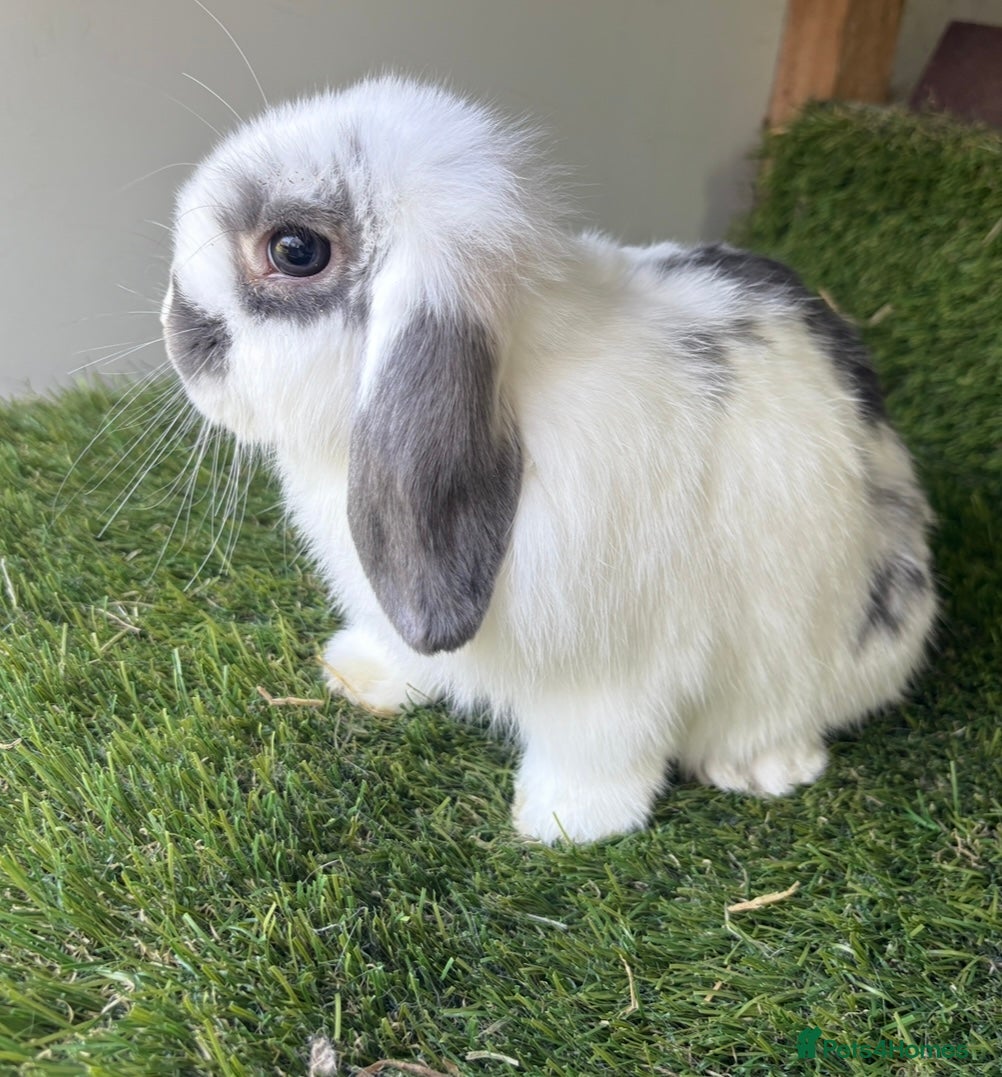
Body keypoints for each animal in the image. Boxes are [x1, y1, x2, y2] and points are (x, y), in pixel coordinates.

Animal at [162, 75, 936, 844]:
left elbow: (599, 745)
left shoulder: (615, 669)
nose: (175, 323)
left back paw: (760, 766)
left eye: (294, 250)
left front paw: (562, 821)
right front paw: (356, 677)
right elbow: (401, 648)